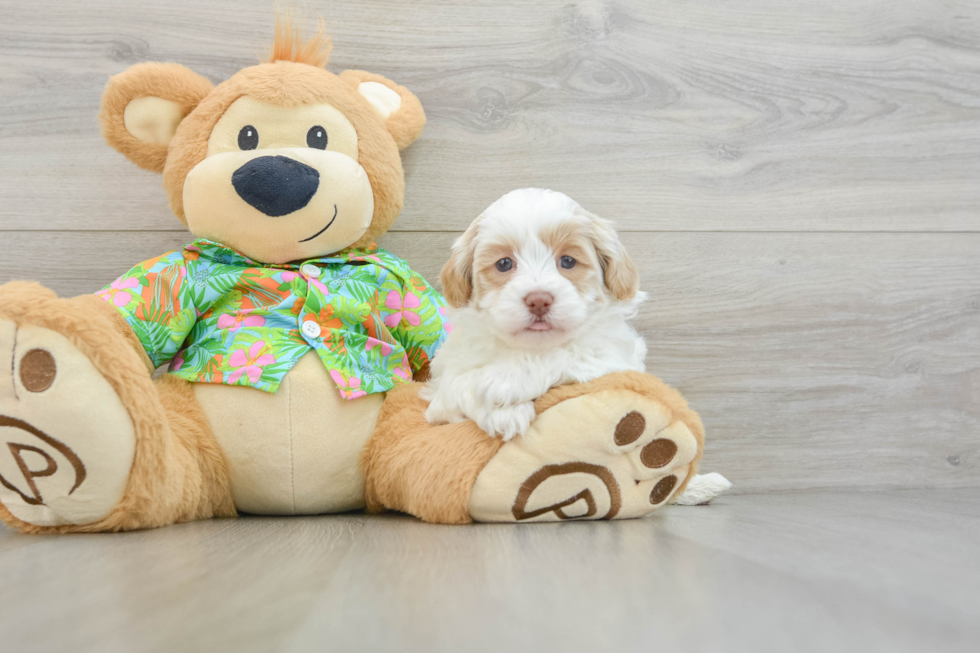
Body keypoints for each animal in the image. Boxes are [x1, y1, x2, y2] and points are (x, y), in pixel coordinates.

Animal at [424, 188, 648, 444]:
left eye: (568, 261)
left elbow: (566, 352)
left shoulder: (615, 358)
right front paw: (503, 412)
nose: (539, 300)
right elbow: (459, 385)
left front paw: (504, 380)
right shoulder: (443, 389)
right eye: (503, 263)